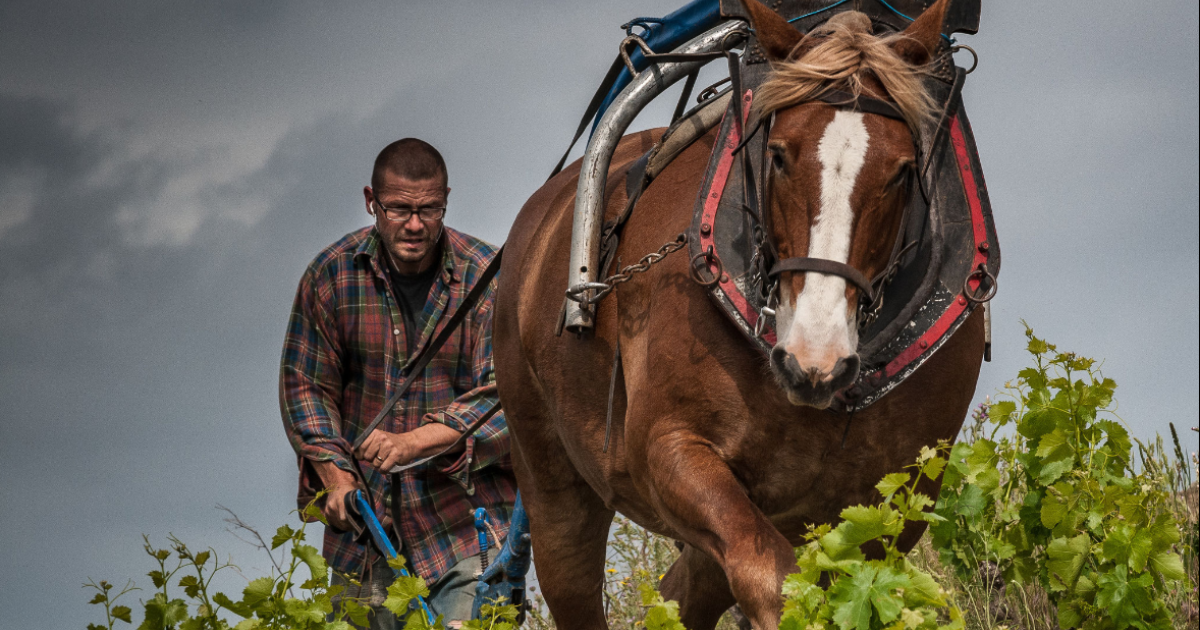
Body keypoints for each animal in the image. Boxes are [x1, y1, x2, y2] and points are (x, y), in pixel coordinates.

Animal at [494, 1, 984, 624]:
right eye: (777, 155)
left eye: (902, 170)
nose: (814, 360)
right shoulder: (671, 450)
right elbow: (773, 583)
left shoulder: (892, 505)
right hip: (552, 482)